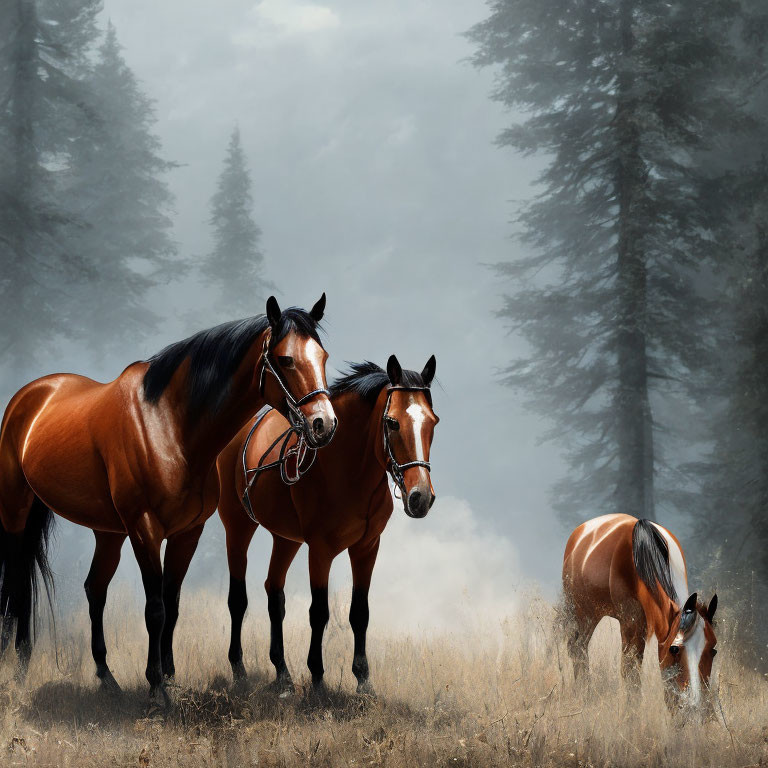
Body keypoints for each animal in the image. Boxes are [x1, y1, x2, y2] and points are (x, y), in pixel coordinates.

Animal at [0, 294, 336, 704]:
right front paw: (157, 688)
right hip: (16, 512)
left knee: (94, 589)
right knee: (19, 581)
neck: (170, 427)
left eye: (322, 357)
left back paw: (105, 678)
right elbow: (156, 609)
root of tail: (32, 394)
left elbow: (172, 605)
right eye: (286, 359)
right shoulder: (145, 530)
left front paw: (170, 675)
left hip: (107, 533)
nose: (324, 425)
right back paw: (18, 669)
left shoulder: (187, 533)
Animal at [216, 354, 438, 696]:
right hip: (237, 526)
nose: (420, 498)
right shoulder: (320, 550)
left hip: (286, 540)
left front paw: (363, 680)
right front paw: (318, 677)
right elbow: (319, 612)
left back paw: (283, 674)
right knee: (238, 599)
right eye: (392, 422)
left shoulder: (366, 548)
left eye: (433, 422)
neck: (347, 470)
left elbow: (360, 612)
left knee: (274, 594)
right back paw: (239, 670)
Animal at [560, 516, 716, 708]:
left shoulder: (643, 625)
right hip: (583, 612)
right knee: (577, 648)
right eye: (674, 649)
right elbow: (629, 669)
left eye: (713, 650)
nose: (695, 703)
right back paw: (584, 694)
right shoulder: (631, 621)